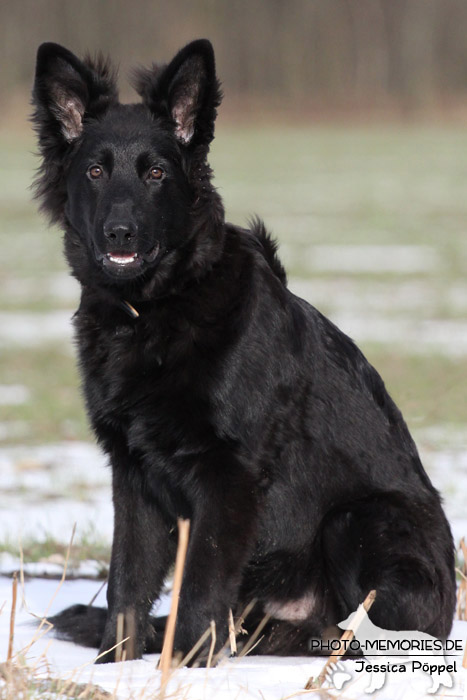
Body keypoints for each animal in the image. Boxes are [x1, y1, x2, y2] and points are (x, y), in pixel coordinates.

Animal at [31, 41, 456, 664]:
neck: (158, 306)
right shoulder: (132, 474)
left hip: (356, 520)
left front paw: (187, 665)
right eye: (94, 171)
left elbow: (201, 586)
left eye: (156, 173)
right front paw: (117, 665)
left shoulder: (227, 476)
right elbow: (126, 584)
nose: (120, 233)